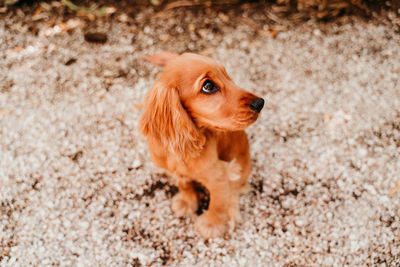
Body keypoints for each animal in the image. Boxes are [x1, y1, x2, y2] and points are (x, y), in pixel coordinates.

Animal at [139, 52, 264, 239]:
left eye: (227, 75)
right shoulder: (174, 170)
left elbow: (218, 203)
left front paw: (212, 224)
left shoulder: (219, 175)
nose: (260, 103)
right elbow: (184, 184)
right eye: (208, 86)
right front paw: (187, 201)